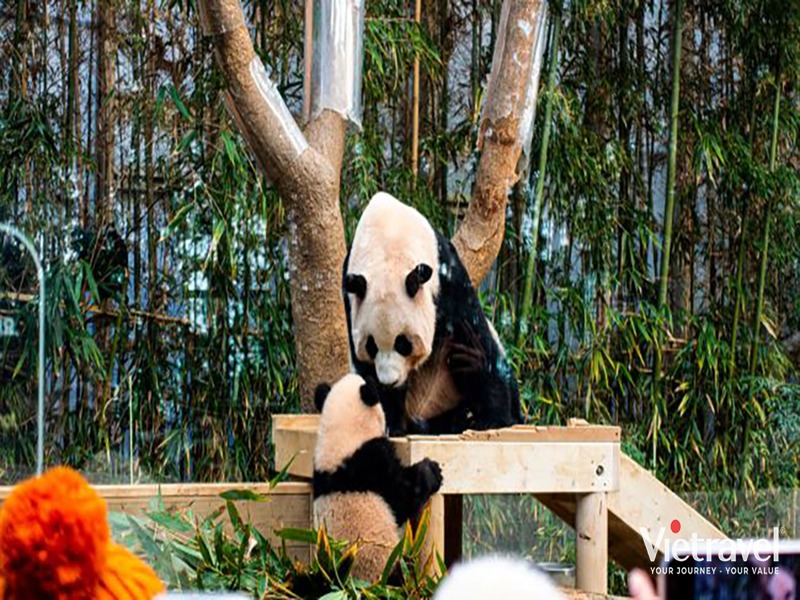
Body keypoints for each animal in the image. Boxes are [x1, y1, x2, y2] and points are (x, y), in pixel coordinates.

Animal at [342, 192, 522, 435]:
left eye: (403, 344)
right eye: (371, 346)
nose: (390, 382)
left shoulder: (447, 276)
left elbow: (473, 335)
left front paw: (494, 418)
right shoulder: (350, 295)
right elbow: (367, 371)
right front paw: (390, 422)